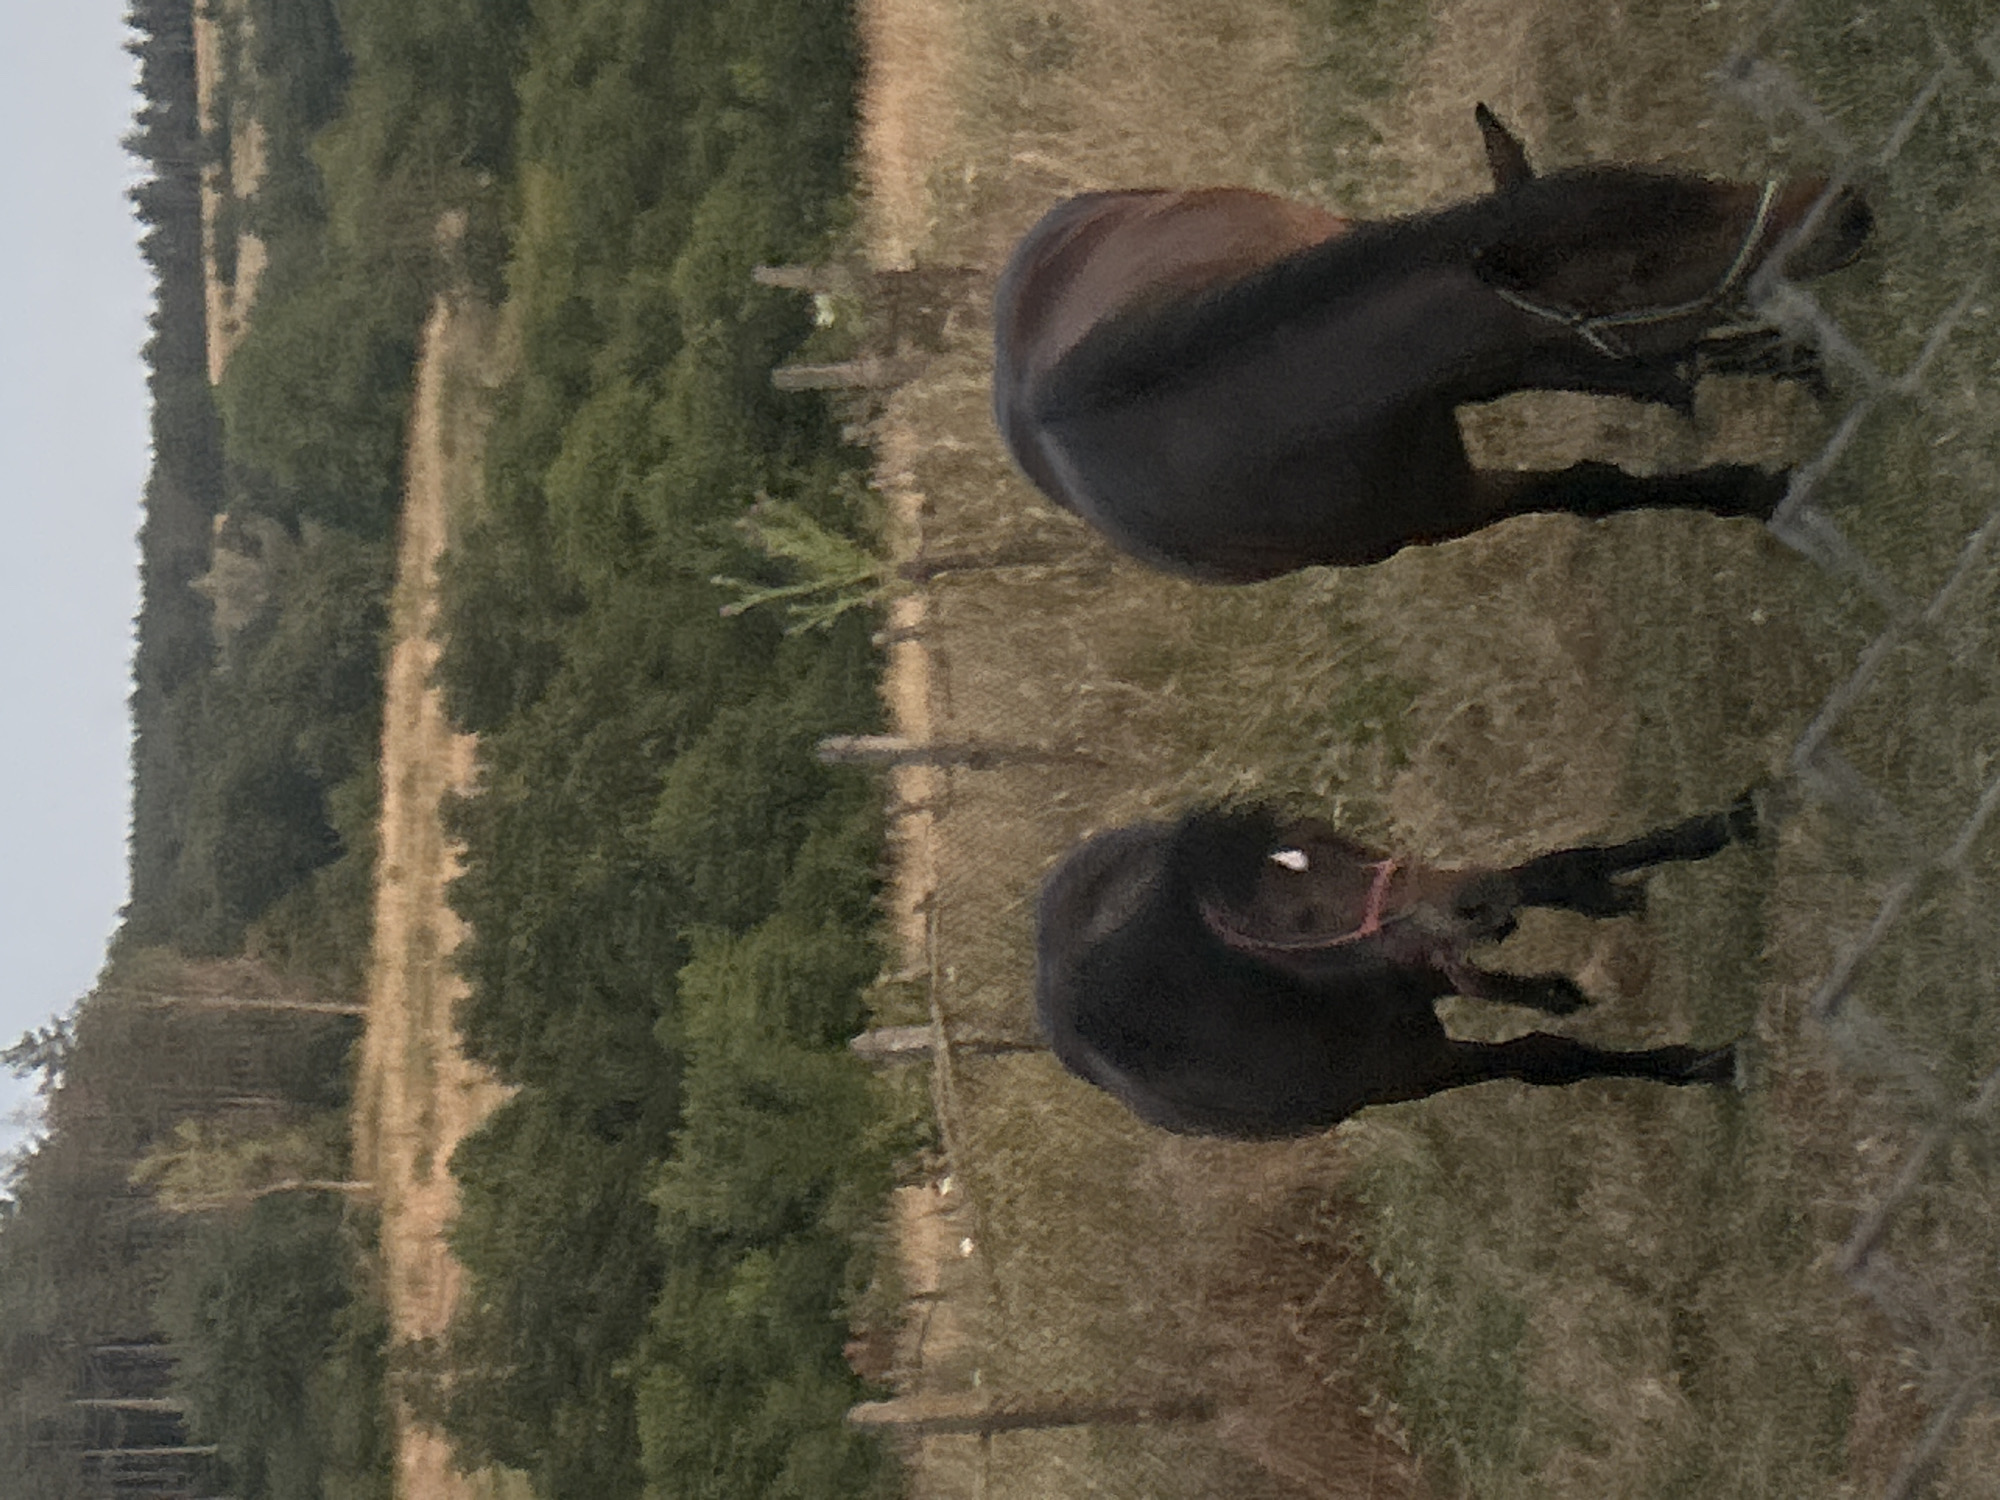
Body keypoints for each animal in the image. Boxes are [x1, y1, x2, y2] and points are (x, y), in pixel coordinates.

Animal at [993, 106, 1872, 582]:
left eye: (1664, 175)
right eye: (1638, 269)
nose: (1840, 211)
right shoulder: (1449, 512)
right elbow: (1592, 485)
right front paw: (1756, 489)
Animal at [1035, 796, 1763, 1138]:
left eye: (1325, 839)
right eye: (1294, 921)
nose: (1476, 901)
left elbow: (1560, 868)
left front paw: (1733, 820)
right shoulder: (1415, 1070)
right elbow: (1546, 1057)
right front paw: (1707, 1063)